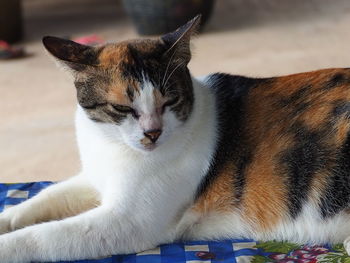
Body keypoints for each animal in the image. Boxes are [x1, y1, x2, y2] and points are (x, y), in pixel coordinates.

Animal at [0, 15, 350, 262]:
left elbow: (40, 236)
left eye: (170, 101)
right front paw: (8, 218)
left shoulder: (126, 222)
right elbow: (43, 198)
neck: (113, 146)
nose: (153, 132)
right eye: (122, 108)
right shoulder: (93, 178)